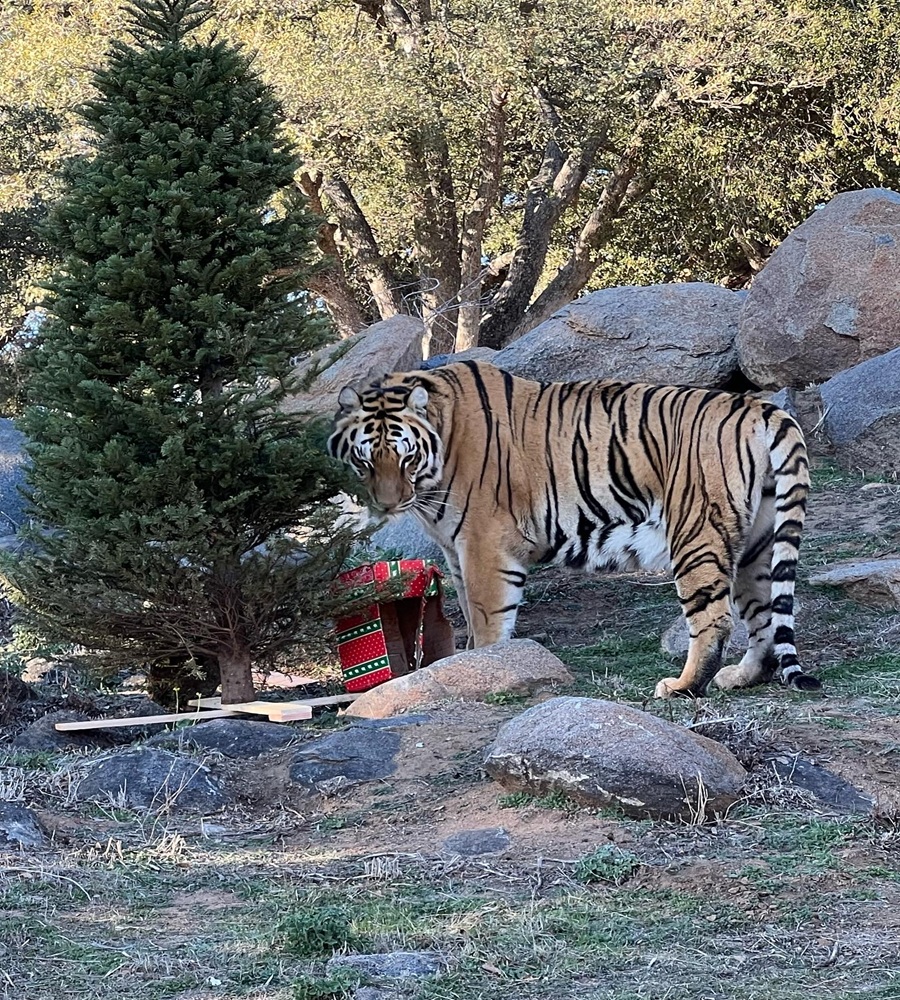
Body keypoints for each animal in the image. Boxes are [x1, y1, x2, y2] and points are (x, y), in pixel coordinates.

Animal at [327, 360, 821, 698]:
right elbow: (466, 608)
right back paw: (740, 677)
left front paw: (488, 668)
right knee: (763, 617)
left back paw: (682, 686)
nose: (387, 504)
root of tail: (759, 406)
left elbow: (487, 620)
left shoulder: (484, 544)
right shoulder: (454, 551)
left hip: (697, 533)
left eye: (406, 456)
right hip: (758, 542)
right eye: (366, 459)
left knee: (714, 620)